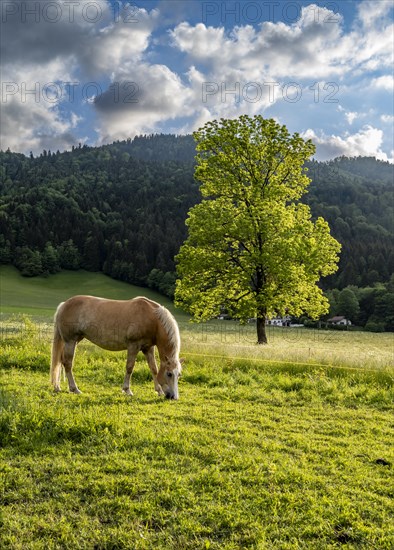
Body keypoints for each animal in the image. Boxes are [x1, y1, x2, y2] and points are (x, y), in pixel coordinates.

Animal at [49, 298, 183, 402]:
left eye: (179, 374)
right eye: (169, 374)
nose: (173, 397)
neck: (152, 318)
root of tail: (64, 305)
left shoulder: (148, 348)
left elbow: (153, 369)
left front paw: (159, 391)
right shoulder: (133, 346)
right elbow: (130, 367)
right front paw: (127, 390)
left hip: (72, 341)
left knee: (60, 362)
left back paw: (58, 387)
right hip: (70, 341)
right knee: (67, 364)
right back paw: (74, 389)